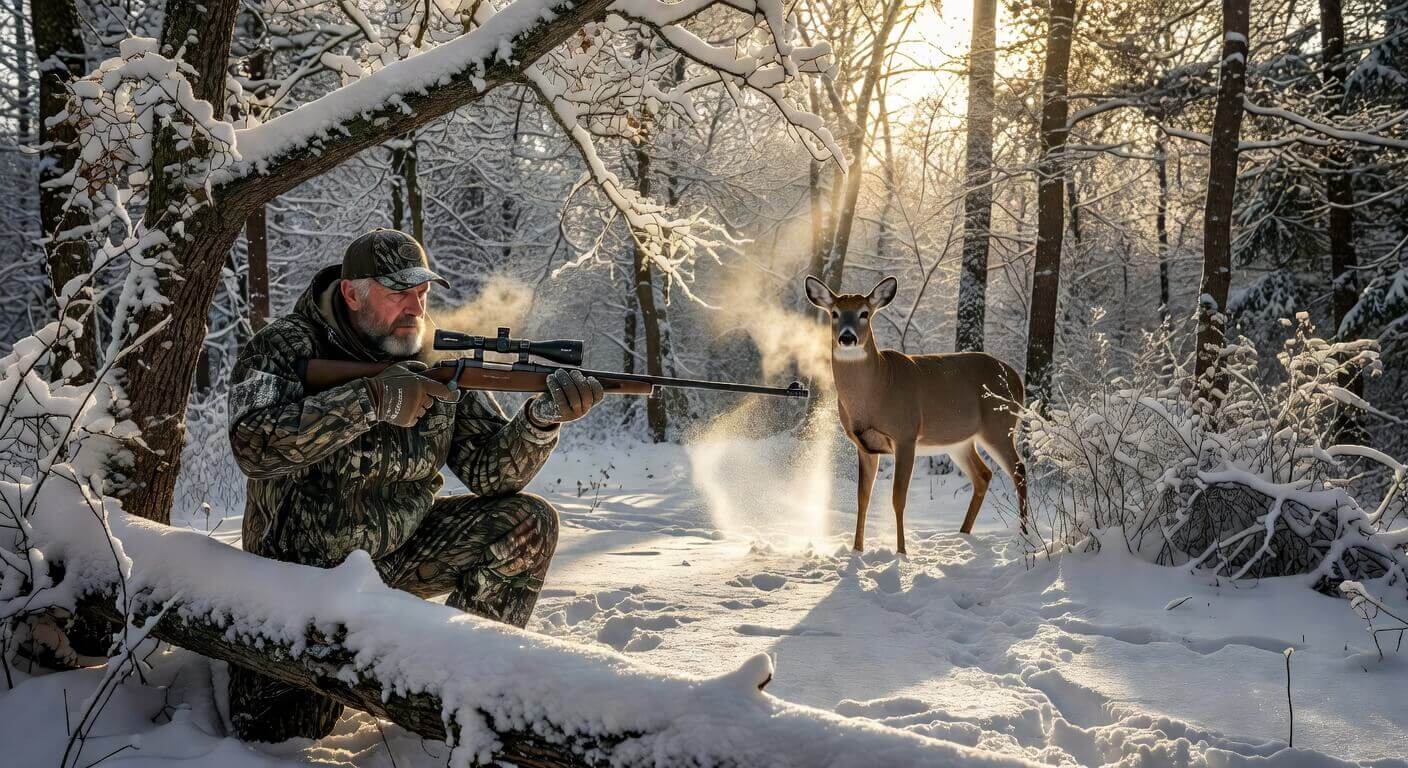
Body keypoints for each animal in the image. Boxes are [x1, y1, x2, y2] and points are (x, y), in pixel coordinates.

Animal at [804, 275, 1028, 554]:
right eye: (834, 313)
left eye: (864, 313)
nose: (847, 337)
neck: (877, 390)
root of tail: (1017, 379)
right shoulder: (864, 445)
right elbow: (862, 498)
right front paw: (857, 549)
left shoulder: (906, 435)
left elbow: (898, 498)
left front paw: (901, 551)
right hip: (960, 442)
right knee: (983, 475)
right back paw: (963, 534)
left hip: (999, 425)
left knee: (1019, 470)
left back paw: (1024, 535)